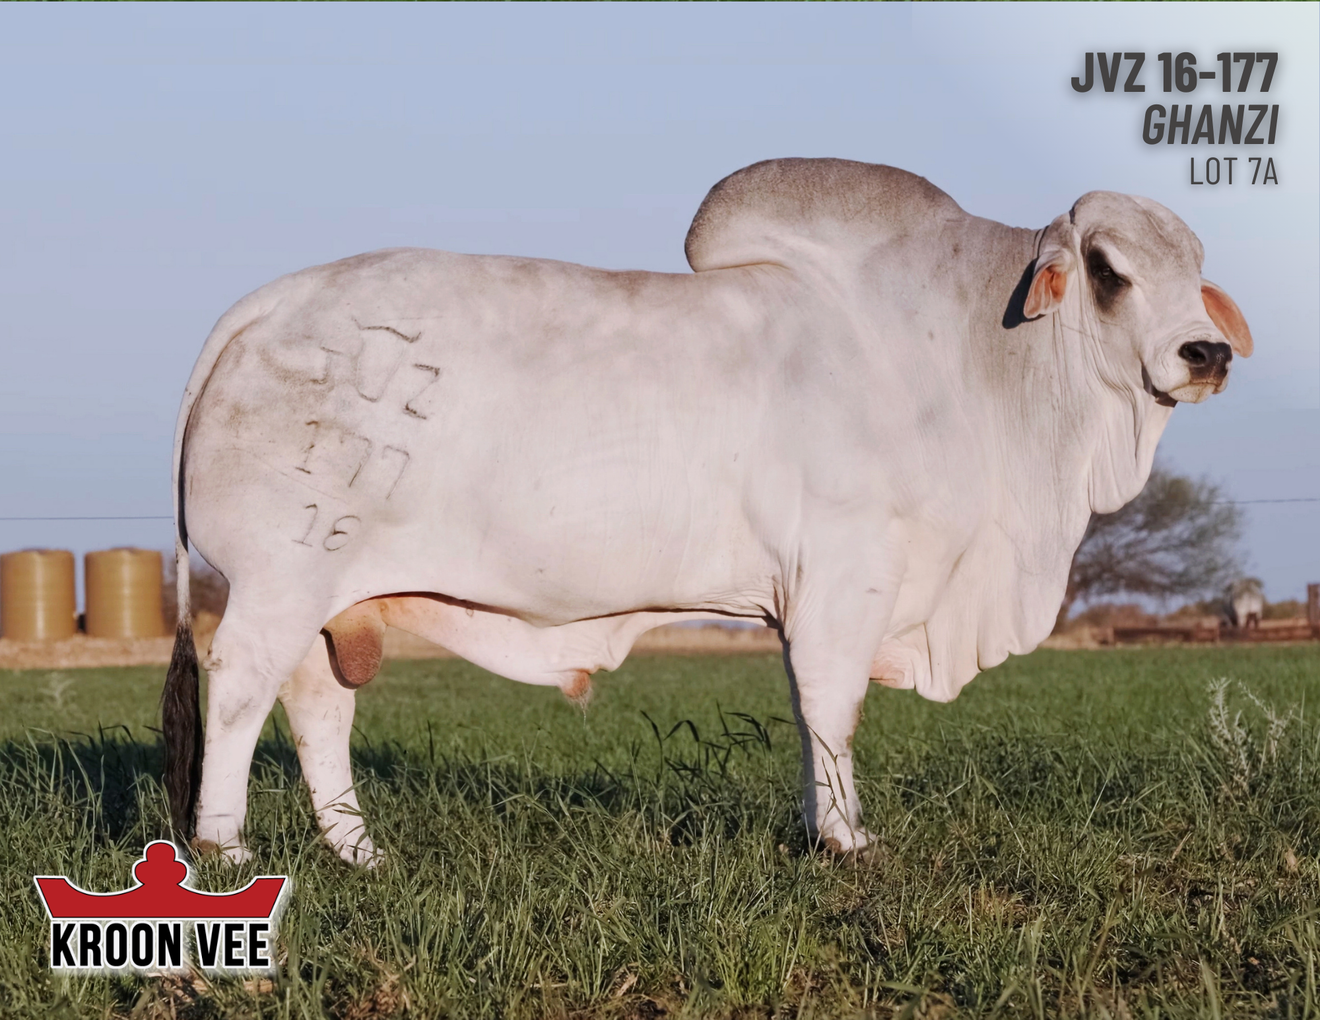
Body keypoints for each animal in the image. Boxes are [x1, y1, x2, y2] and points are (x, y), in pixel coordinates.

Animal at [161, 158, 1253, 865]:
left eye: (1194, 267)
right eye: (1108, 269)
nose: (1205, 353)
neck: (970, 360)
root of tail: (274, 303)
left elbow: (810, 714)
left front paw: (819, 831)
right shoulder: (846, 579)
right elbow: (832, 704)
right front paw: (849, 841)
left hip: (331, 593)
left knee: (315, 706)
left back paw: (359, 851)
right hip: (282, 575)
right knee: (242, 689)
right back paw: (225, 851)